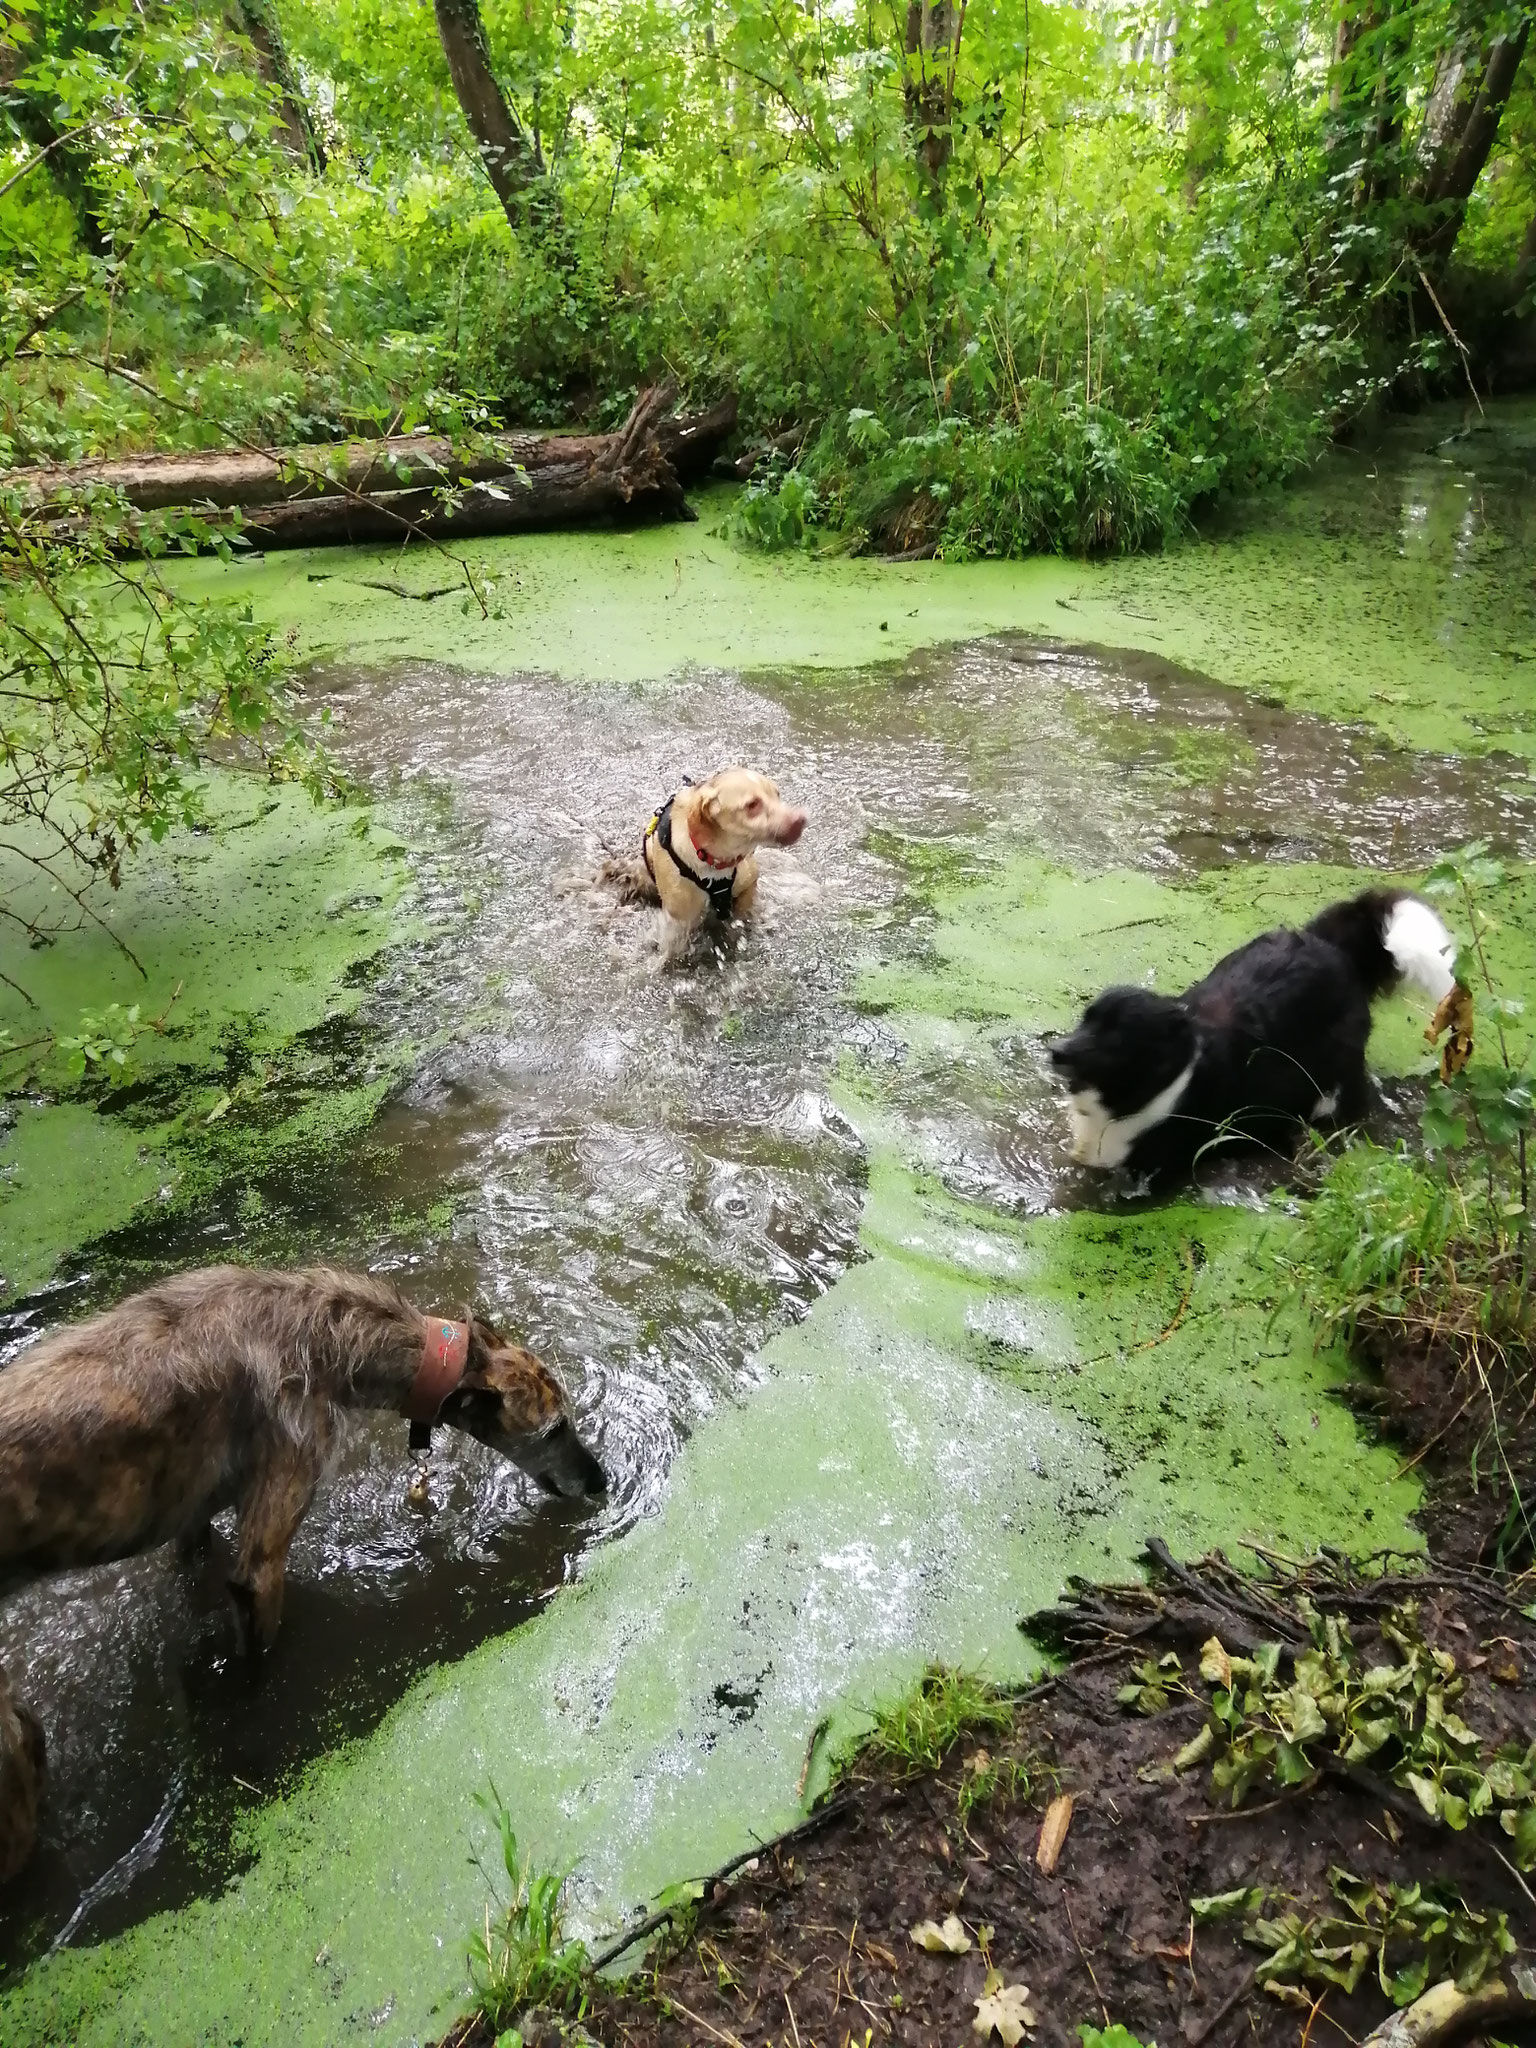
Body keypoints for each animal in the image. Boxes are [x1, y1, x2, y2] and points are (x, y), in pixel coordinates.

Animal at [3, 1261, 610, 1875]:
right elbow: (258, 1664)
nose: (602, 1482)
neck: (322, 1330)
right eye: (555, 1428)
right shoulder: (263, 1558)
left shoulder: (194, 1528)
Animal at [634, 765, 811, 933]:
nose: (800, 819)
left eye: (777, 794)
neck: (716, 859)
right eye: (752, 804)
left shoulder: (749, 884)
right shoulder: (678, 921)